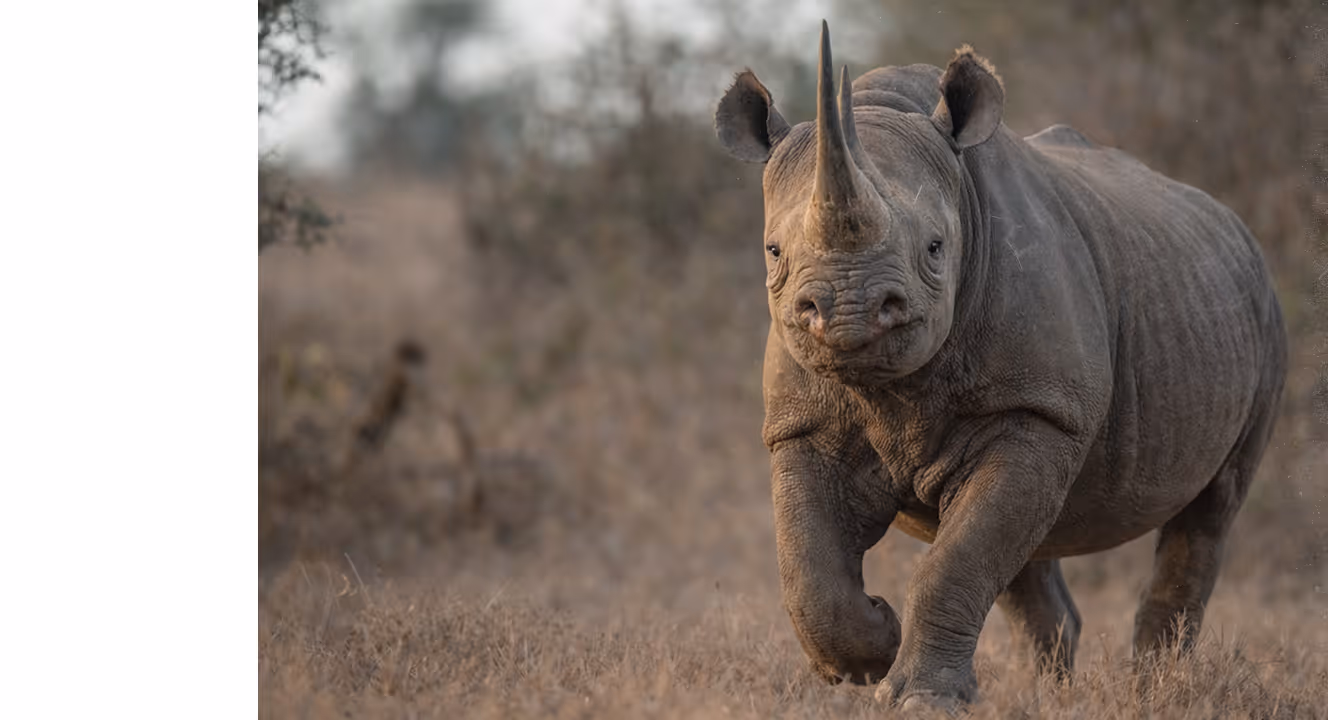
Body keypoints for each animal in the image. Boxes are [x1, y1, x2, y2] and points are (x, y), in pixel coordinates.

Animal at [714, 22, 1287, 709]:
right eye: (774, 251)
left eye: (936, 248)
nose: (848, 310)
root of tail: (1234, 227)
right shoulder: (801, 424)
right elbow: (809, 568)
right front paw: (871, 652)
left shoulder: (1038, 407)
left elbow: (958, 559)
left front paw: (918, 700)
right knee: (1028, 548)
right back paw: (1053, 694)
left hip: (1261, 318)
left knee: (1211, 510)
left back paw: (1159, 690)